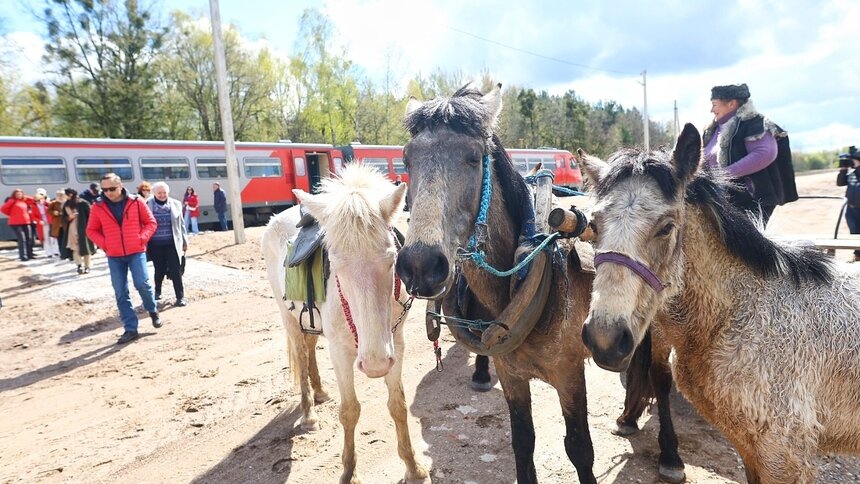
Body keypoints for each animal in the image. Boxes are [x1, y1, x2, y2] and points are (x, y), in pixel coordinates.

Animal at [258, 165, 426, 484]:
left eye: (391, 259)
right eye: (334, 264)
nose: (374, 365)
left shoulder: (396, 344)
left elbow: (397, 405)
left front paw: (413, 467)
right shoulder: (340, 351)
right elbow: (349, 411)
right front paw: (348, 472)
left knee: (311, 347)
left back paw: (321, 391)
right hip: (289, 319)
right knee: (301, 353)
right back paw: (309, 414)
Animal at [396, 84, 684, 484]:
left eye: (473, 158)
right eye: (407, 160)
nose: (420, 265)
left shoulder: (569, 373)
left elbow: (579, 448)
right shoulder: (510, 375)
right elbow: (523, 441)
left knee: (660, 377)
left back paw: (670, 453)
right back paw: (628, 417)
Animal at [580, 123, 860, 482]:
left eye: (666, 227)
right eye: (593, 225)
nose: (605, 339)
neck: (743, 313)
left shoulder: (785, 454)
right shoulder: (750, 446)